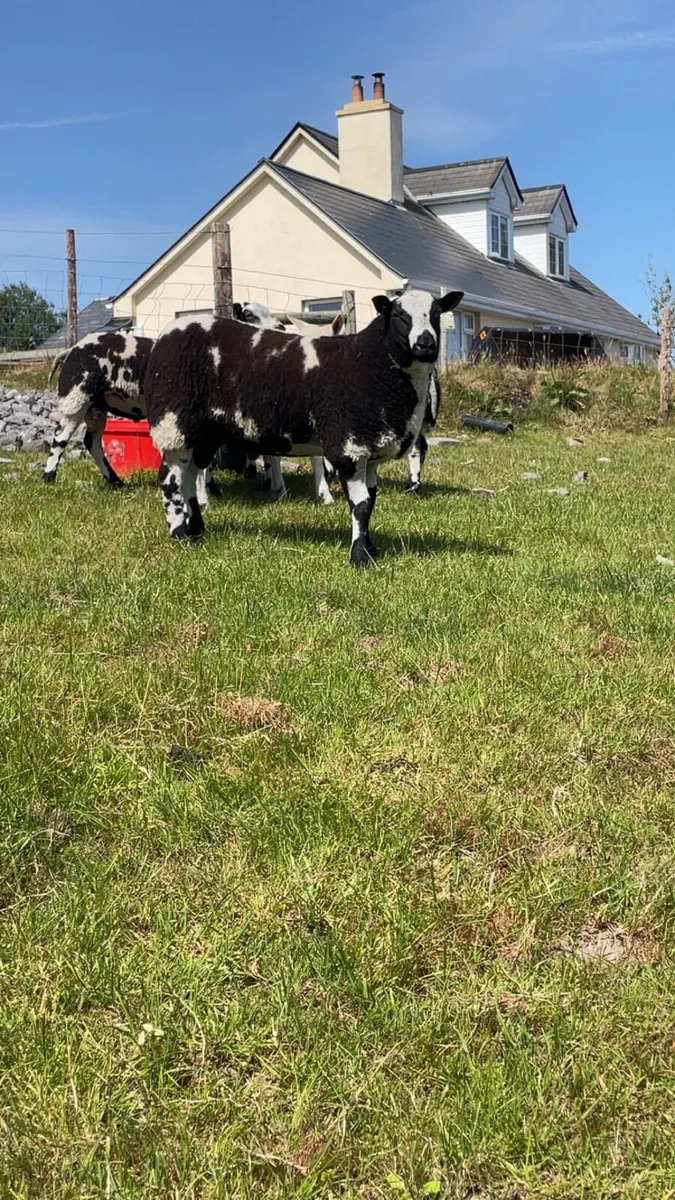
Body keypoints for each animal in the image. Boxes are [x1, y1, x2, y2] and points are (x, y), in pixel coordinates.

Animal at [145, 287, 463, 567]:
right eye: (398, 315)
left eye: (437, 313)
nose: (426, 344)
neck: (369, 361)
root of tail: (169, 332)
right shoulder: (348, 443)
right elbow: (360, 505)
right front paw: (359, 558)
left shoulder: (370, 447)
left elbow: (371, 501)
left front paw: (371, 549)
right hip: (174, 421)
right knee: (170, 479)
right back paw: (179, 534)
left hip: (202, 433)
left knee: (189, 478)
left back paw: (197, 531)